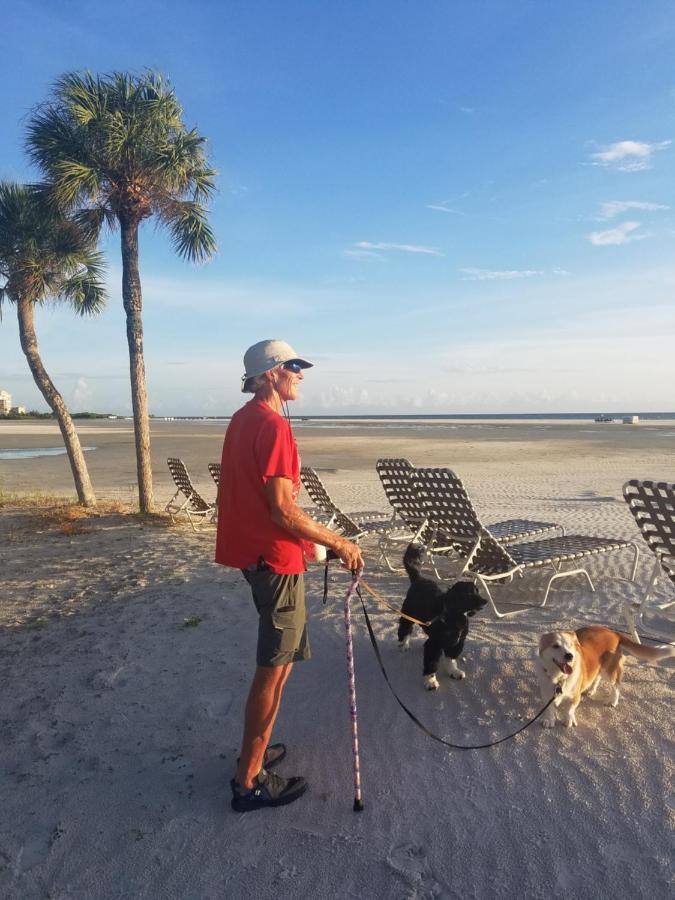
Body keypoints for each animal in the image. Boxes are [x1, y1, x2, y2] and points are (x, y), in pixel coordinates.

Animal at [396, 540, 486, 688]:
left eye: (477, 591)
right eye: (468, 594)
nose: (485, 601)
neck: (454, 615)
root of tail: (419, 579)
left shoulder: (457, 642)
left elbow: (451, 659)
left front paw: (453, 671)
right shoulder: (434, 644)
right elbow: (431, 663)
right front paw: (430, 681)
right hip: (408, 614)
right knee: (405, 629)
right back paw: (404, 644)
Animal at [536, 628, 672, 728]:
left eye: (570, 645)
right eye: (555, 646)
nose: (570, 656)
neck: (559, 677)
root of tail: (614, 632)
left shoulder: (575, 696)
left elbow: (570, 709)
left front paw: (569, 720)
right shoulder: (546, 691)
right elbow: (548, 707)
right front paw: (549, 719)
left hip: (610, 670)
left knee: (616, 685)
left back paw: (613, 701)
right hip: (599, 667)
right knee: (597, 677)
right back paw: (591, 690)